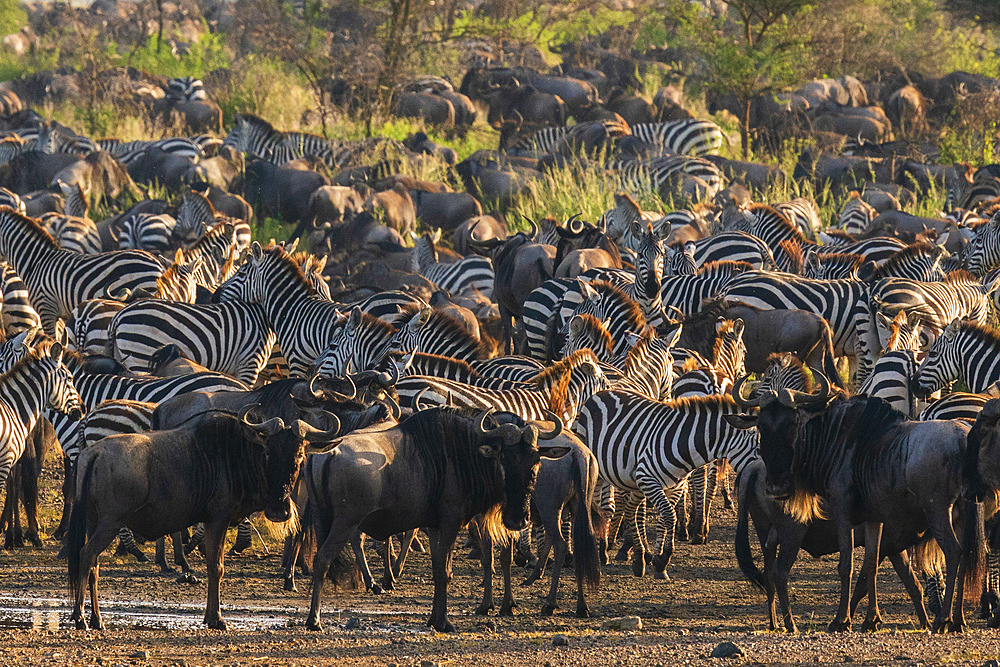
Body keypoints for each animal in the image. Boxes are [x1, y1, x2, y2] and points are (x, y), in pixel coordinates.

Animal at [576, 394, 752, 576]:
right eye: (758, 448)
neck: (684, 443)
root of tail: (601, 393)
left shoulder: (675, 486)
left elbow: (663, 518)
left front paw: (657, 559)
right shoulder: (648, 479)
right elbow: (670, 515)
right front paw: (664, 558)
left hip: (636, 481)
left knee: (630, 509)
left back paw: (638, 558)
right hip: (600, 472)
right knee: (600, 507)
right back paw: (602, 552)